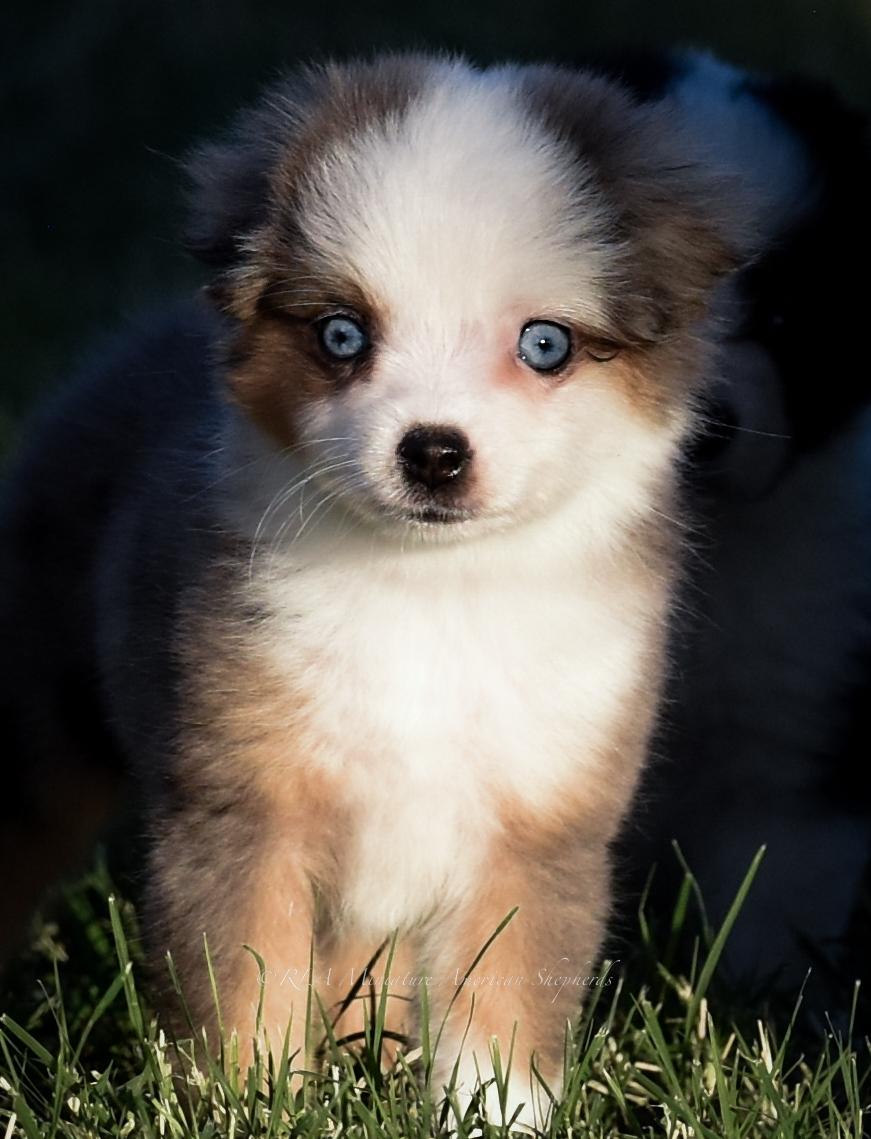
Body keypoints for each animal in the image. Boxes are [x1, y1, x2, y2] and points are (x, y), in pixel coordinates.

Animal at [0, 55, 750, 1126]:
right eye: (342, 335)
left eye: (545, 345)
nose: (432, 453)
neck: (429, 593)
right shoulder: (245, 799)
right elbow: (248, 985)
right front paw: (254, 1106)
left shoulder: (542, 820)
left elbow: (499, 1011)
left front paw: (488, 1114)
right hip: (42, 701)